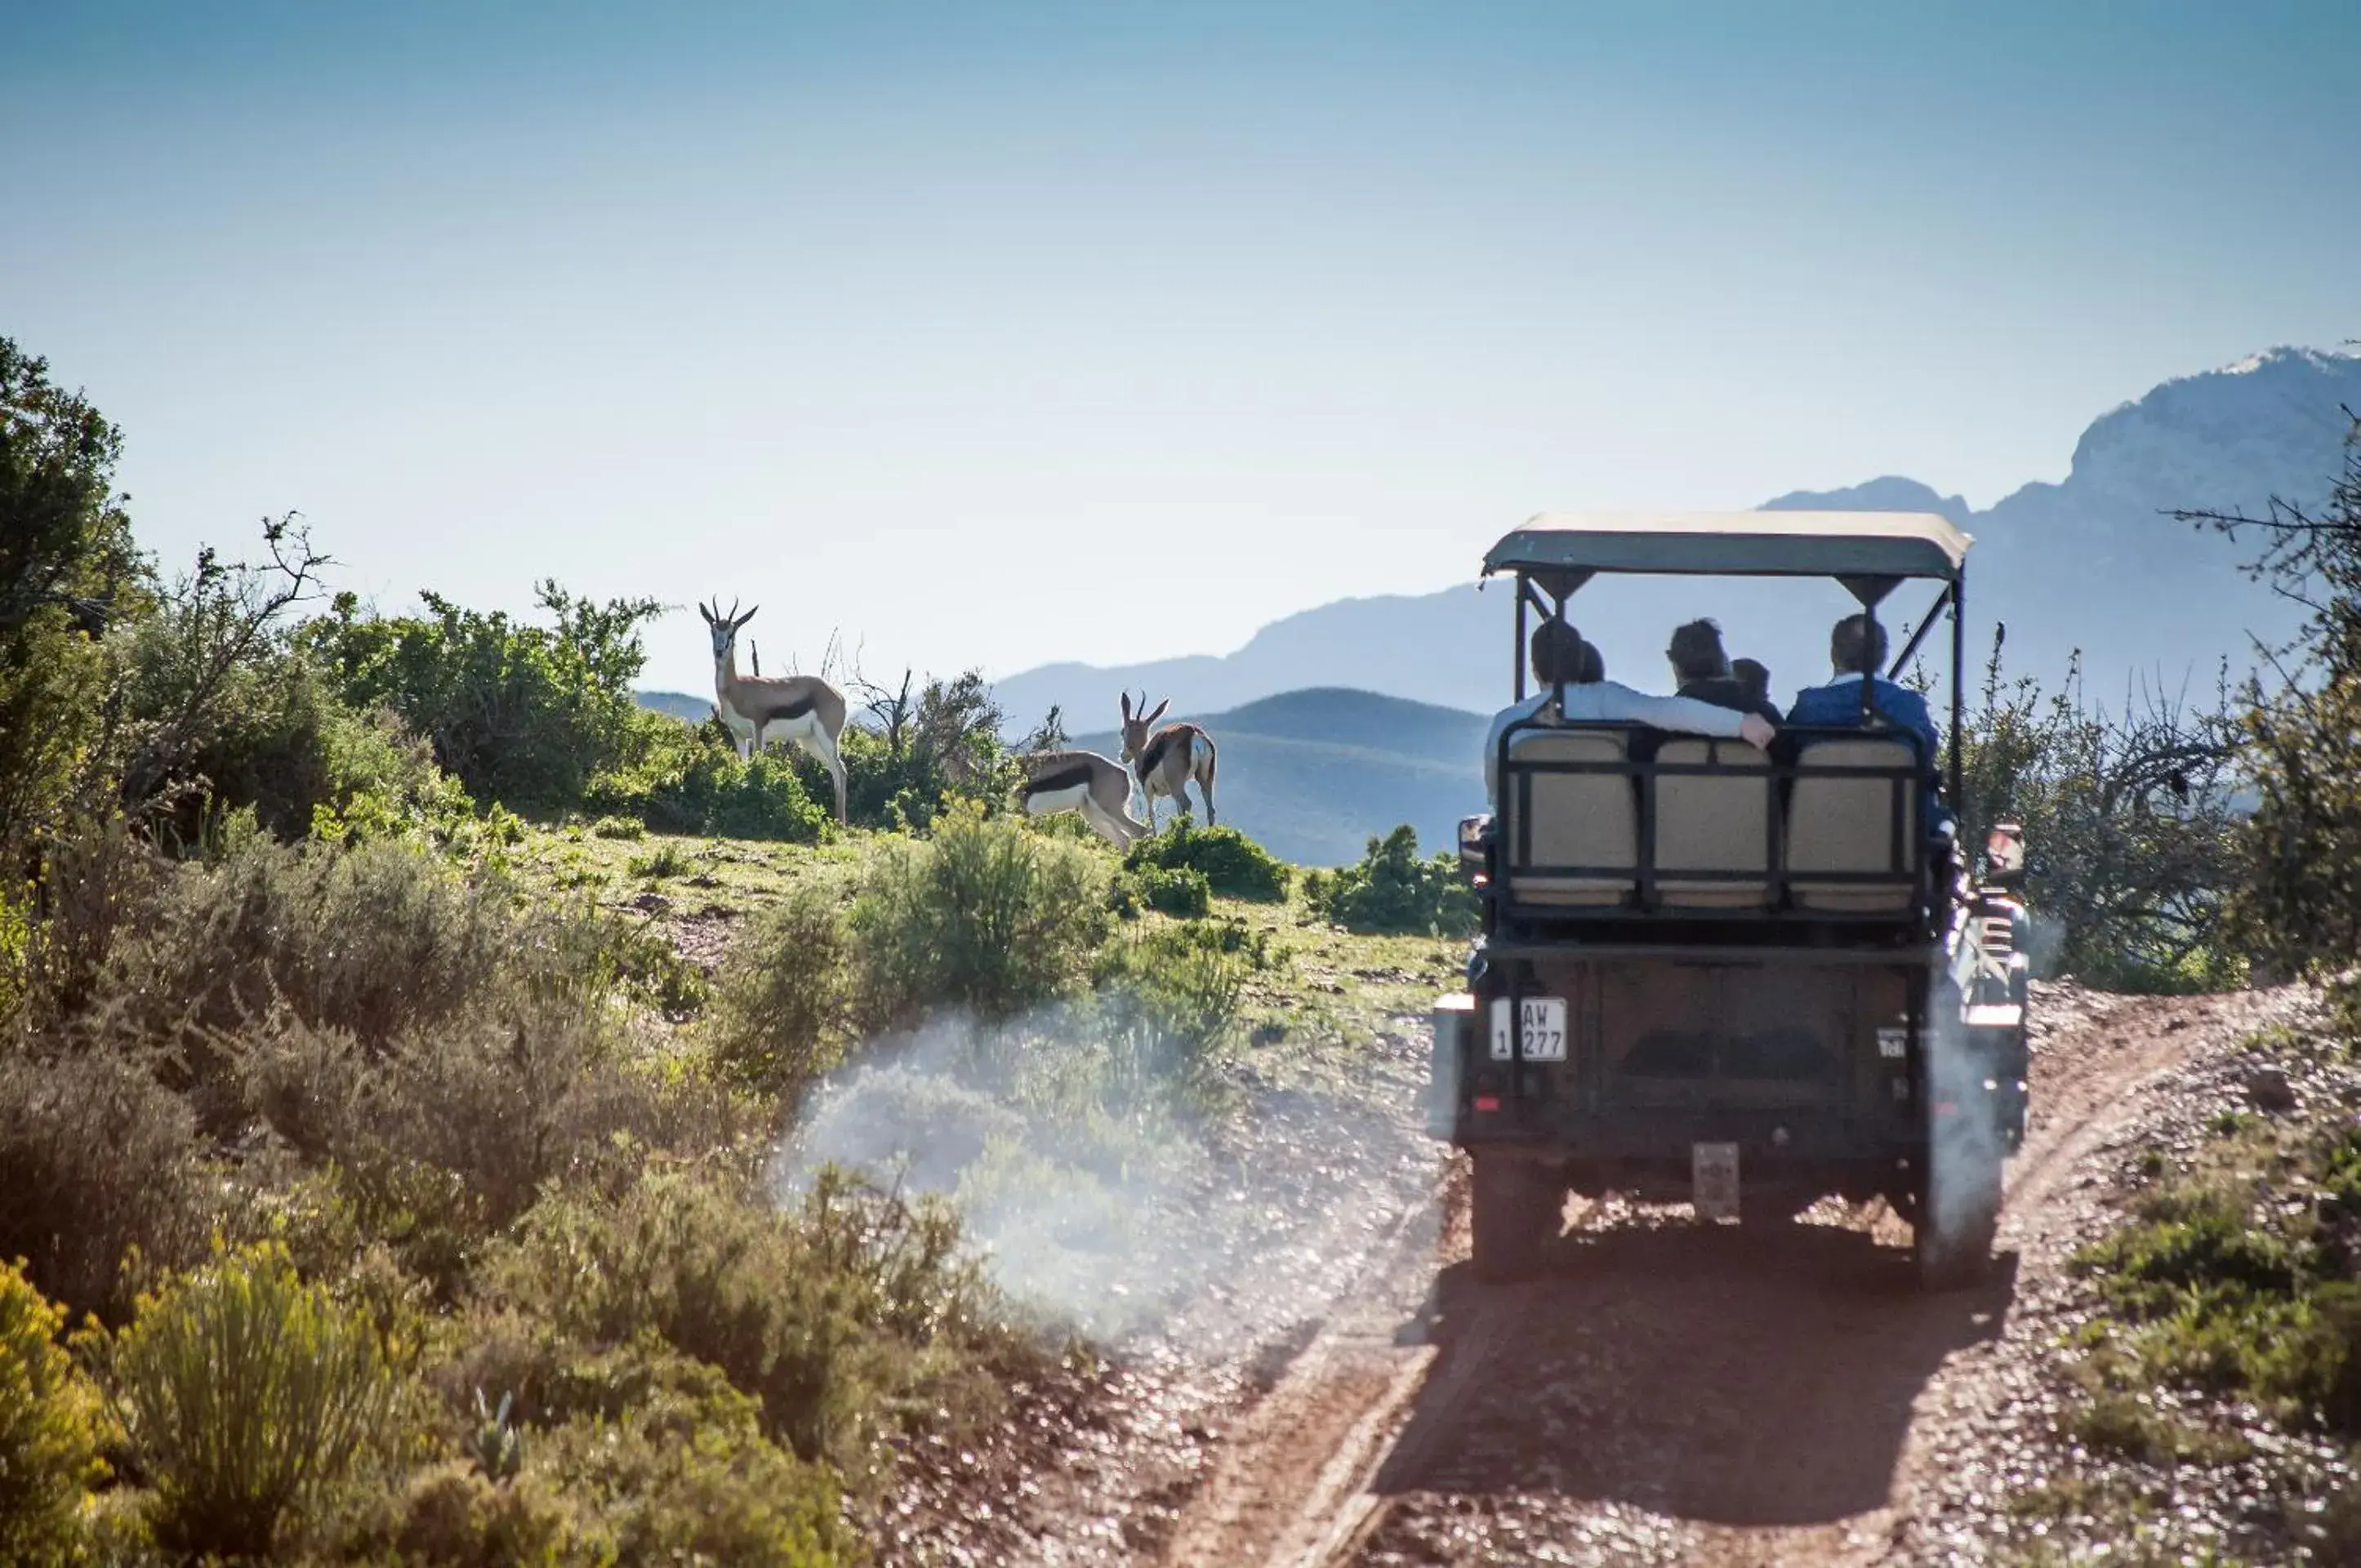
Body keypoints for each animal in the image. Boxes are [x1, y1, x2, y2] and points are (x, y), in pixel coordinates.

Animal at [698, 595, 849, 826]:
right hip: (810, 741)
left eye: (732, 632)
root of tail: (838, 696)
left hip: (827, 739)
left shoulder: (758, 731)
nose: (719, 651)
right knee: (835, 772)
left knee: (841, 772)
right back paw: (835, 822)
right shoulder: (738, 734)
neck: (737, 687)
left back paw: (840, 826)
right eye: (713, 630)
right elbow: (744, 766)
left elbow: (756, 766)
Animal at [1114, 689, 1218, 831]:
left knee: (1187, 803)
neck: (1143, 753)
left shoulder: (1148, 788)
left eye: (1122, 732)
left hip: (1176, 784)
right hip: (1205, 778)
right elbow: (1178, 811)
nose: (1123, 756)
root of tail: (1194, 734)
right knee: (1210, 809)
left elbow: (1151, 814)